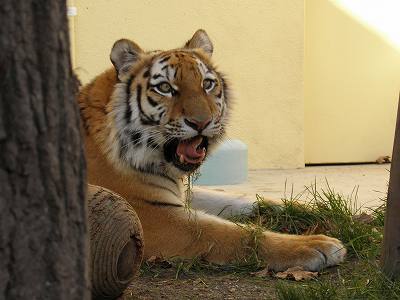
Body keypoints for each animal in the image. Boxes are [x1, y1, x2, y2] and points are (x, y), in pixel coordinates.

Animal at [79, 29, 346, 270]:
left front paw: (321, 210)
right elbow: (234, 233)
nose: (201, 122)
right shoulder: (154, 216)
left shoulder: (179, 195)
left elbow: (242, 199)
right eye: (165, 87)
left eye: (207, 84)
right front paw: (315, 245)